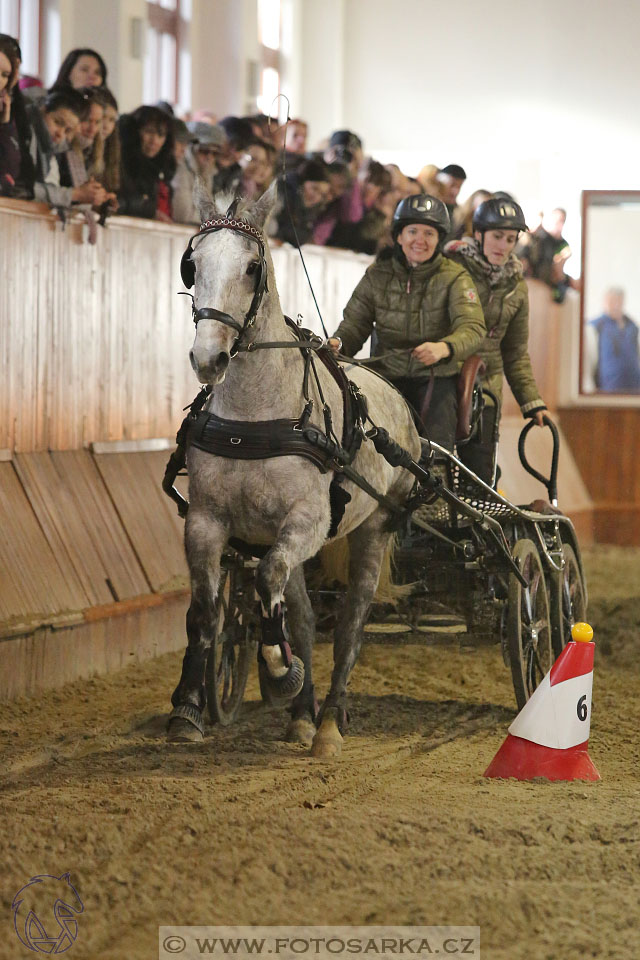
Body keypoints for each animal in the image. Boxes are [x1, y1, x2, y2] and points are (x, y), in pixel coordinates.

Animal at [168, 182, 422, 756]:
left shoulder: (306, 520)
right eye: (193, 264)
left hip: (373, 527)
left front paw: (279, 670)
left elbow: (266, 583)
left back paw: (328, 721)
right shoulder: (205, 521)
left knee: (350, 625)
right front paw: (189, 707)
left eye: (252, 266)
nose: (208, 358)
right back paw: (303, 715)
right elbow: (206, 610)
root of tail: (397, 398)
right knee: (303, 617)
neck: (254, 417)